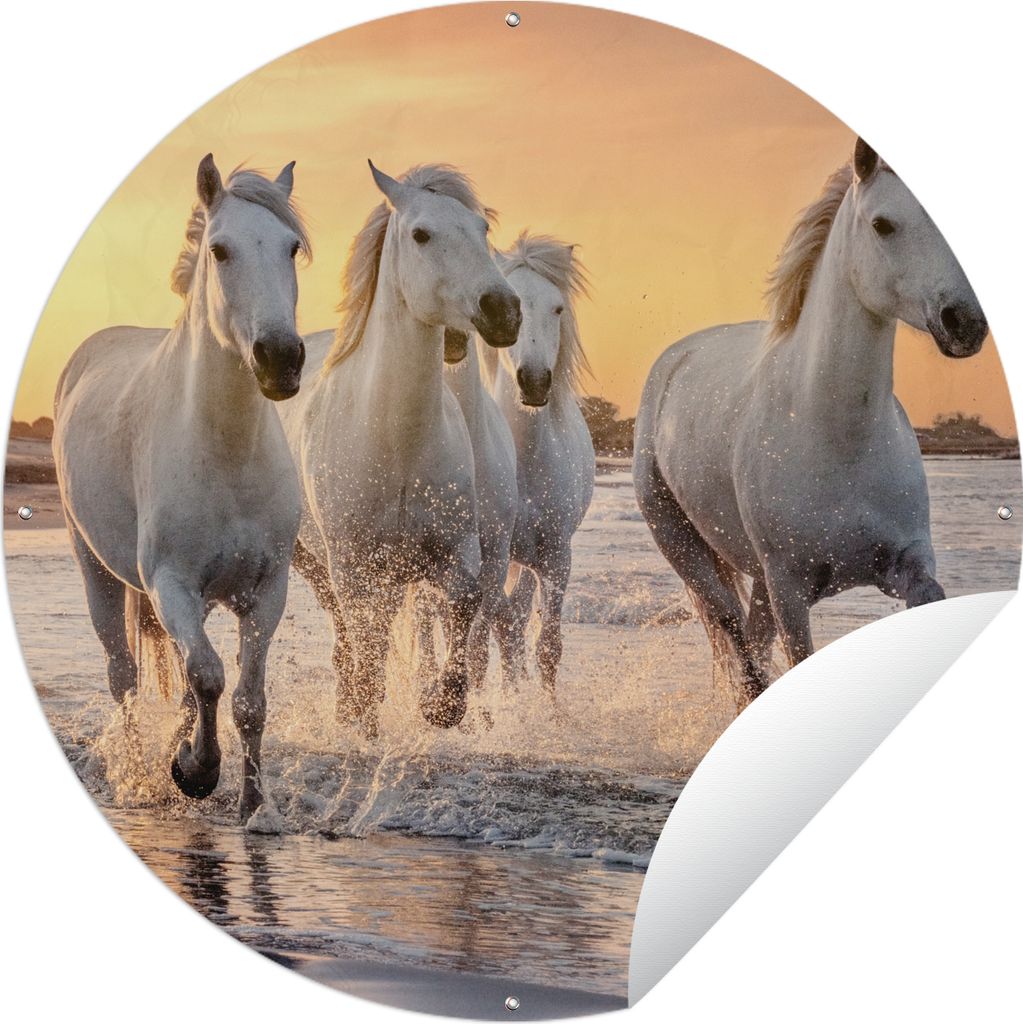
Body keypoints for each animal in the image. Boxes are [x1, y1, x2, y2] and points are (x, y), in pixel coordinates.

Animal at [53, 155, 310, 821]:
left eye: (291, 248)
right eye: (220, 250)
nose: (280, 358)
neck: (226, 452)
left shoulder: (266, 590)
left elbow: (246, 699)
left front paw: (253, 806)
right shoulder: (170, 583)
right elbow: (210, 677)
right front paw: (196, 771)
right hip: (95, 567)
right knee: (124, 675)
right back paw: (143, 773)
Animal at [278, 162, 521, 738]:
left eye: (482, 230)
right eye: (421, 234)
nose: (503, 310)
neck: (398, 442)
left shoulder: (457, 553)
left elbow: (464, 607)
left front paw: (441, 705)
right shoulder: (353, 565)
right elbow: (367, 642)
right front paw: (365, 713)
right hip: (316, 562)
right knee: (350, 634)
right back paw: (350, 708)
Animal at [634, 137, 988, 707]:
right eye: (882, 224)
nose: (965, 323)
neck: (838, 435)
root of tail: (675, 359)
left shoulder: (909, 564)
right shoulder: (791, 590)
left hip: (755, 578)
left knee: (751, 643)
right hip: (683, 544)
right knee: (734, 637)